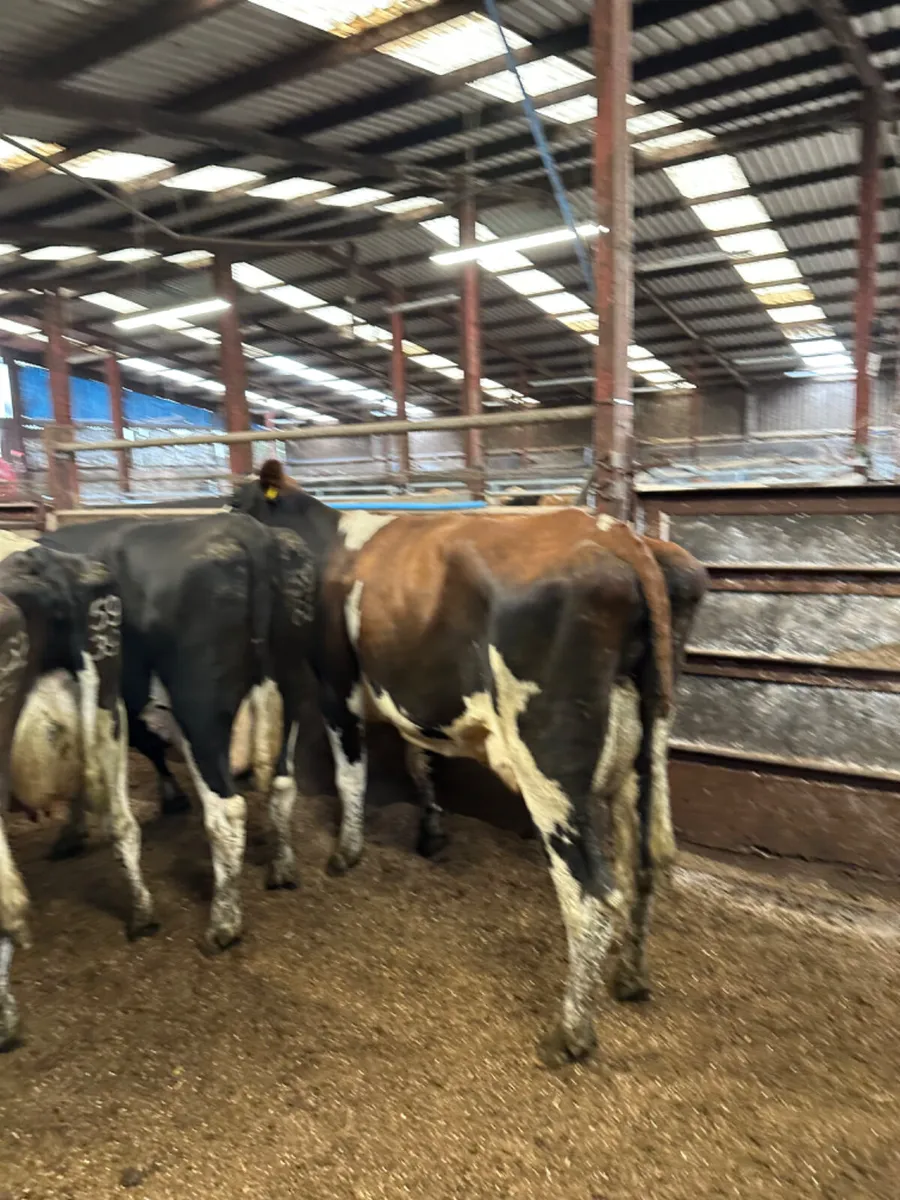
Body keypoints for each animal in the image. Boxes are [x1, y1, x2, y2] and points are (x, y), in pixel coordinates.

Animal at [0, 542, 156, 1051]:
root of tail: (43, 562)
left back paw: (6, 1021)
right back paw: (142, 914)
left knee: (8, 900)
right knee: (125, 826)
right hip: (111, 715)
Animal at [41, 513, 317, 953]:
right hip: (294, 688)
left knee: (226, 811)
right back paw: (282, 869)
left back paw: (223, 924)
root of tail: (246, 527)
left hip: (199, 710)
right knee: (282, 784)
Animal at [229, 460, 707, 1064]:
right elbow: (420, 760)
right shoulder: (415, 692)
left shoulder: (338, 682)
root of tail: (618, 534)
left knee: (591, 893)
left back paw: (571, 1033)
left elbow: (351, 769)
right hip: (644, 752)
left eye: (235, 505)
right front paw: (430, 832)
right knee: (643, 863)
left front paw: (346, 852)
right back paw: (631, 979)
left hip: (549, 759)